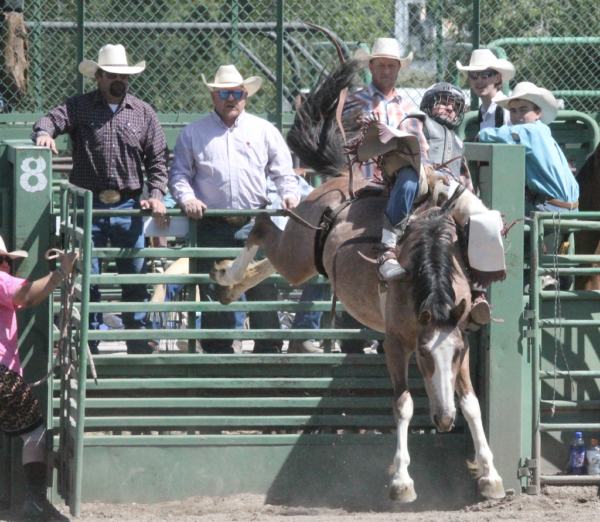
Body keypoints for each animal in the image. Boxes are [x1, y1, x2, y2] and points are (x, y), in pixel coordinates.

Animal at [209, 60, 505, 502]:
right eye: (422, 356)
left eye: (452, 356)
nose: (443, 420)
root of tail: (335, 181)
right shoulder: (395, 344)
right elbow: (403, 404)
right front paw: (401, 480)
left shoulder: (461, 334)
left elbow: (470, 403)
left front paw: (489, 474)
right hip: (298, 249)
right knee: (262, 225)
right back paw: (228, 274)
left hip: (301, 263)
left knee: (269, 261)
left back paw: (230, 284)